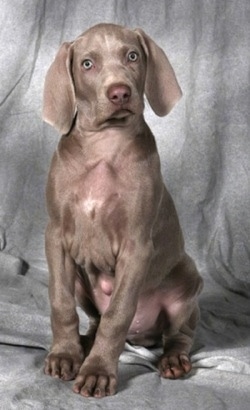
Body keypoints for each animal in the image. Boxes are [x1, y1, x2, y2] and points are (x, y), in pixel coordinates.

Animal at [43, 22, 203, 398]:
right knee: (94, 319)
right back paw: (84, 344)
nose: (119, 93)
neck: (104, 146)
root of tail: (141, 337)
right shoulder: (56, 235)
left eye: (132, 56)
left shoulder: (136, 246)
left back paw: (174, 360)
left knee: (180, 334)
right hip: (81, 280)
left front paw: (98, 371)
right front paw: (65, 355)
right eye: (87, 64)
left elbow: (118, 313)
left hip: (189, 278)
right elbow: (61, 302)